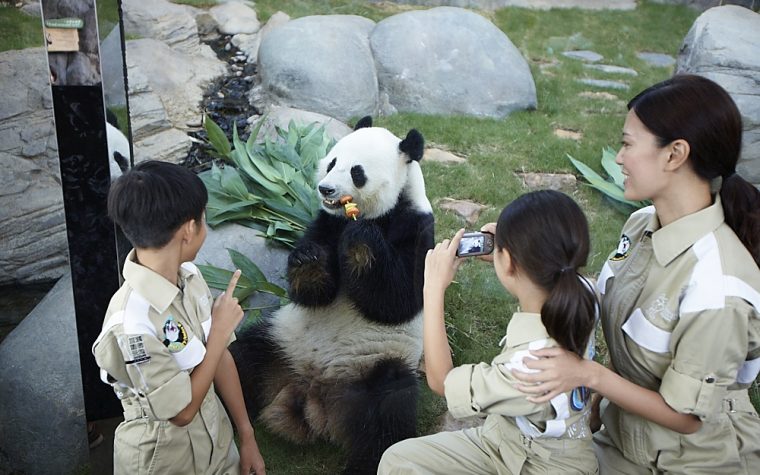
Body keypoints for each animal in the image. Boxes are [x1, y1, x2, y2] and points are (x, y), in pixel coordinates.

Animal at [232, 116, 434, 475]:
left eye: (357, 171)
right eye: (331, 161)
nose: (325, 189)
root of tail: (314, 395)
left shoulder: (418, 228)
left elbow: (397, 299)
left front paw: (362, 241)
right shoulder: (324, 222)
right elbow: (313, 293)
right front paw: (309, 259)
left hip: (376, 366)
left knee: (387, 415)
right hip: (280, 341)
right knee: (243, 359)